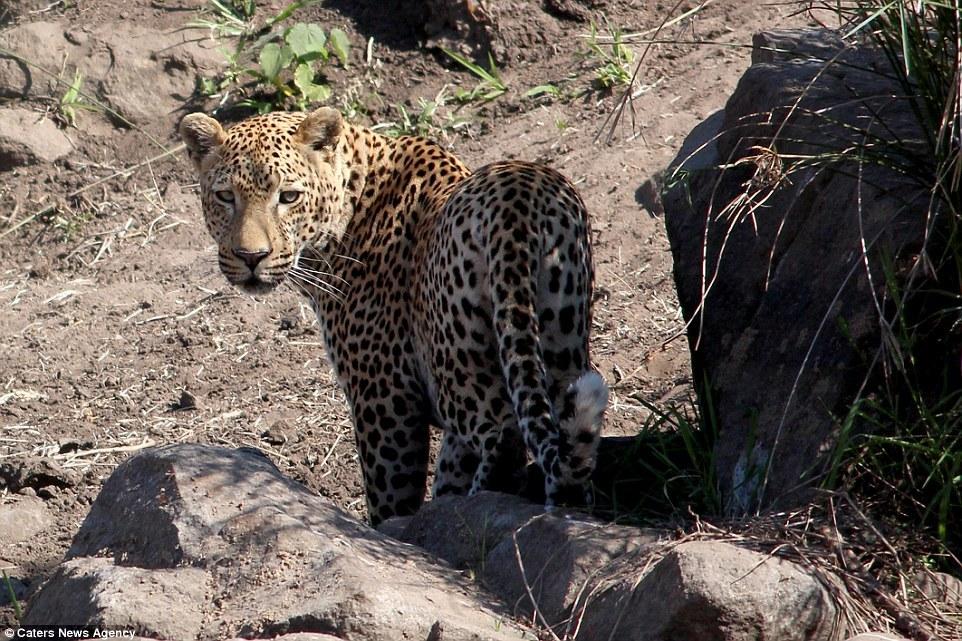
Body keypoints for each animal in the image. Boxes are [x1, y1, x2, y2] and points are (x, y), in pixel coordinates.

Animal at [180, 106, 608, 524]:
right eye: (225, 196)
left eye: (288, 197)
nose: (251, 257)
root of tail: (516, 198)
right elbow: (451, 469)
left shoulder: (384, 395)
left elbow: (389, 490)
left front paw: (398, 529)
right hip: (561, 340)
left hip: (460, 363)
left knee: (503, 437)